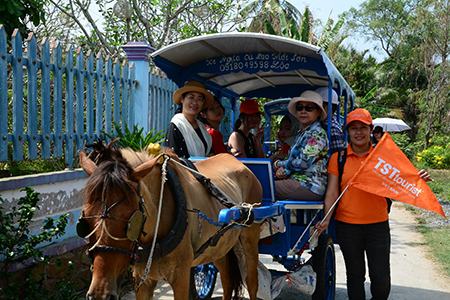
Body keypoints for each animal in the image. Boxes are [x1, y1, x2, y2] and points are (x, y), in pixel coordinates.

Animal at [78, 144, 262, 300]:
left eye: (131, 219)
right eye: (85, 221)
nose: (100, 295)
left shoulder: (181, 276)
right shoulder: (143, 279)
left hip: (250, 236)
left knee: (252, 281)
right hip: (219, 246)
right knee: (227, 280)